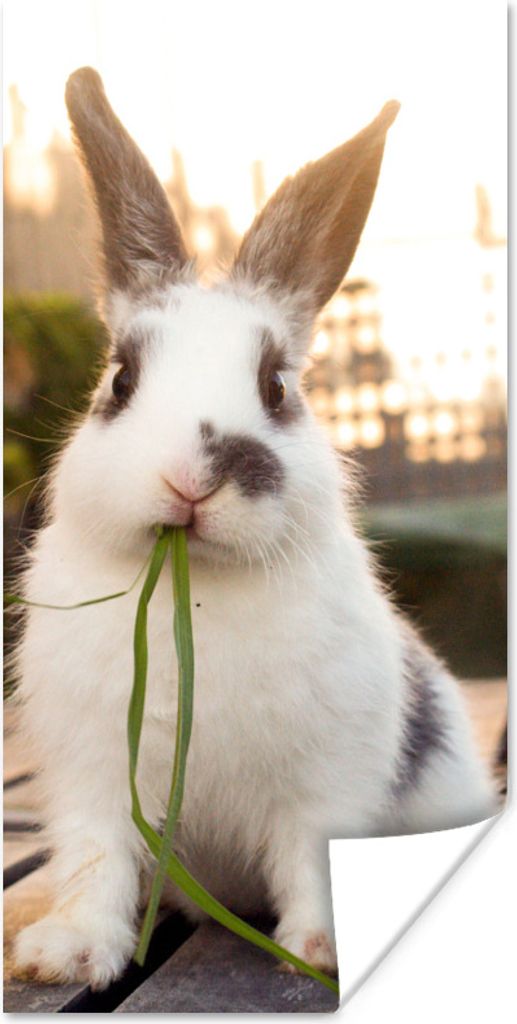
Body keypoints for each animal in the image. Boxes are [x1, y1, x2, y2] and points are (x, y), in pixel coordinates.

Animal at [12, 67, 497, 991]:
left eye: (276, 387)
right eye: (120, 381)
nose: (191, 479)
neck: (194, 591)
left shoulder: (325, 785)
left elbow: (312, 859)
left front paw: (323, 949)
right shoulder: (93, 781)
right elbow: (97, 864)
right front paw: (66, 954)